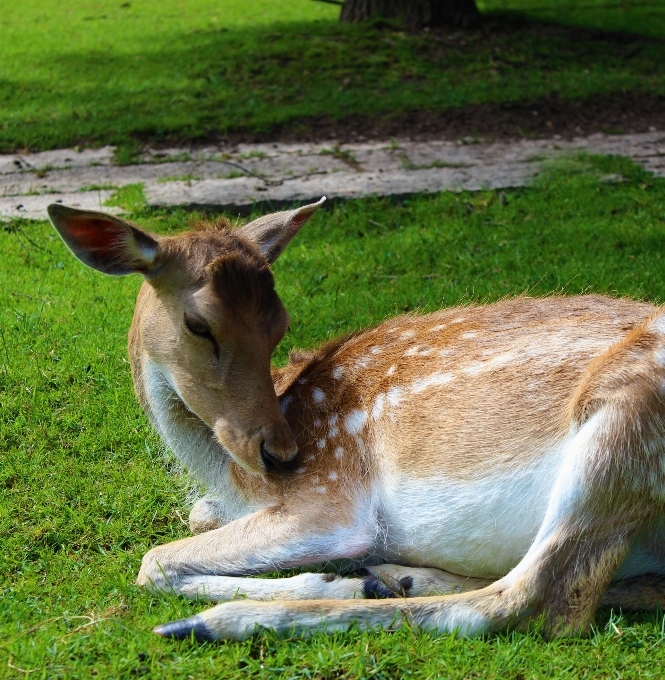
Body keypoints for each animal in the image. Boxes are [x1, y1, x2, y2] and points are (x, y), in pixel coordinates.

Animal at [48, 198, 665, 644]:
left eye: (279, 322)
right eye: (198, 324)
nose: (279, 453)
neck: (234, 482)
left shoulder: (330, 499)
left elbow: (153, 561)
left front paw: (328, 580)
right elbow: (194, 520)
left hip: (624, 419)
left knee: (534, 603)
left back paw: (225, 620)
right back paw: (396, 577)